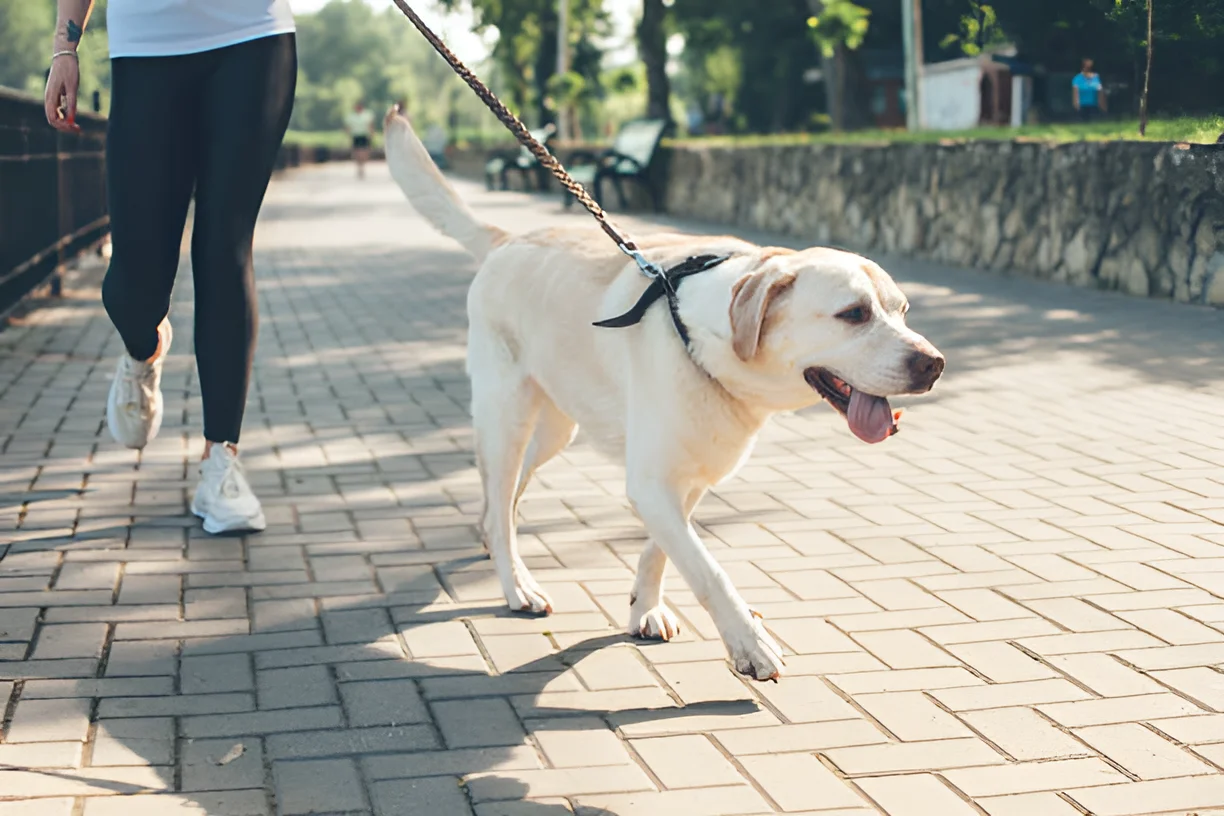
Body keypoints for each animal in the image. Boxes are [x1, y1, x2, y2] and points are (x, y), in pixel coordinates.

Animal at [381, 110, 944, 685]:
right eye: (853, 314)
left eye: (902, 310)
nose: (933, 364)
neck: (702, 335)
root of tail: (506, 239)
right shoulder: (653, 482)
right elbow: (708, 569)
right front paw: (749, 643)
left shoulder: (688, 475)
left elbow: (663, 551)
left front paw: (644, 608)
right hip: (507, 417)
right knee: (499, 497)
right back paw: (516, 583)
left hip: (557, 429)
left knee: (505, 498)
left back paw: (496, 546)